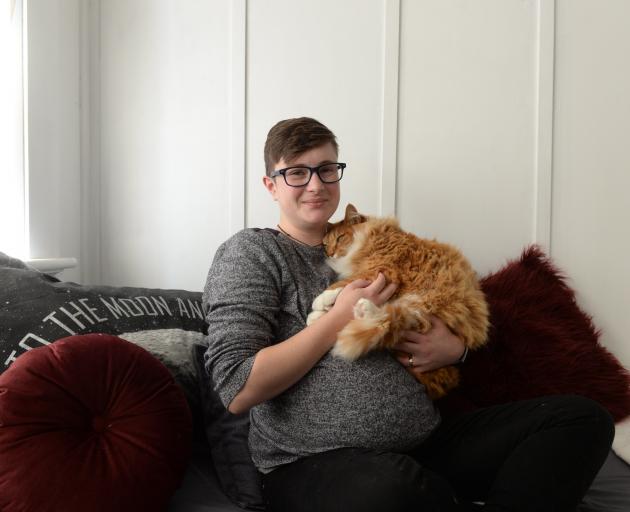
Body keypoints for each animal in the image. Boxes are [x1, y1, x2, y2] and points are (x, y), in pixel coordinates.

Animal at [308, 204, 492, 400]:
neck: (372, 235)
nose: (331, 253)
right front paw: (317, 316)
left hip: (424, 304)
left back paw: (365, 309)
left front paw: (320, 301)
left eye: (340, 238)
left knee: (390, 321)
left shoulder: (381, 269)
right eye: (325, 245)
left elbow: (346, 283)